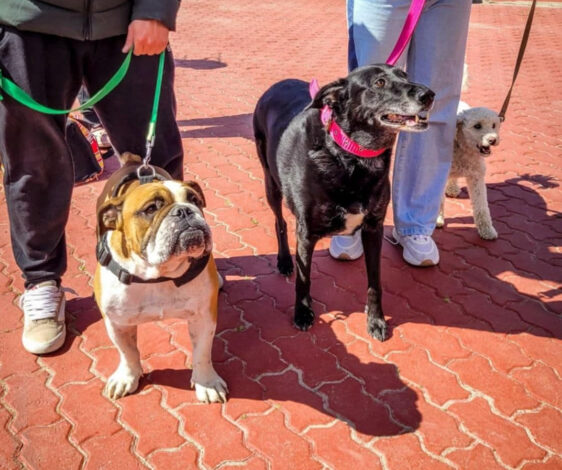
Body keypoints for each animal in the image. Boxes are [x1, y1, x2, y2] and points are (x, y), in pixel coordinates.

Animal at [253, 64, 434, 340]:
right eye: (379, 83)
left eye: (405, 76)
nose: (429, 95)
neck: (352, 156)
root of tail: (277, 84)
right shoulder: (306, 234)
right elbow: (303, 279)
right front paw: (302, 312)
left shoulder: (373, 229)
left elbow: (375, 282)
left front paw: (376, 320)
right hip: (271, 183)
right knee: (279, 223)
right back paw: (284, 261)